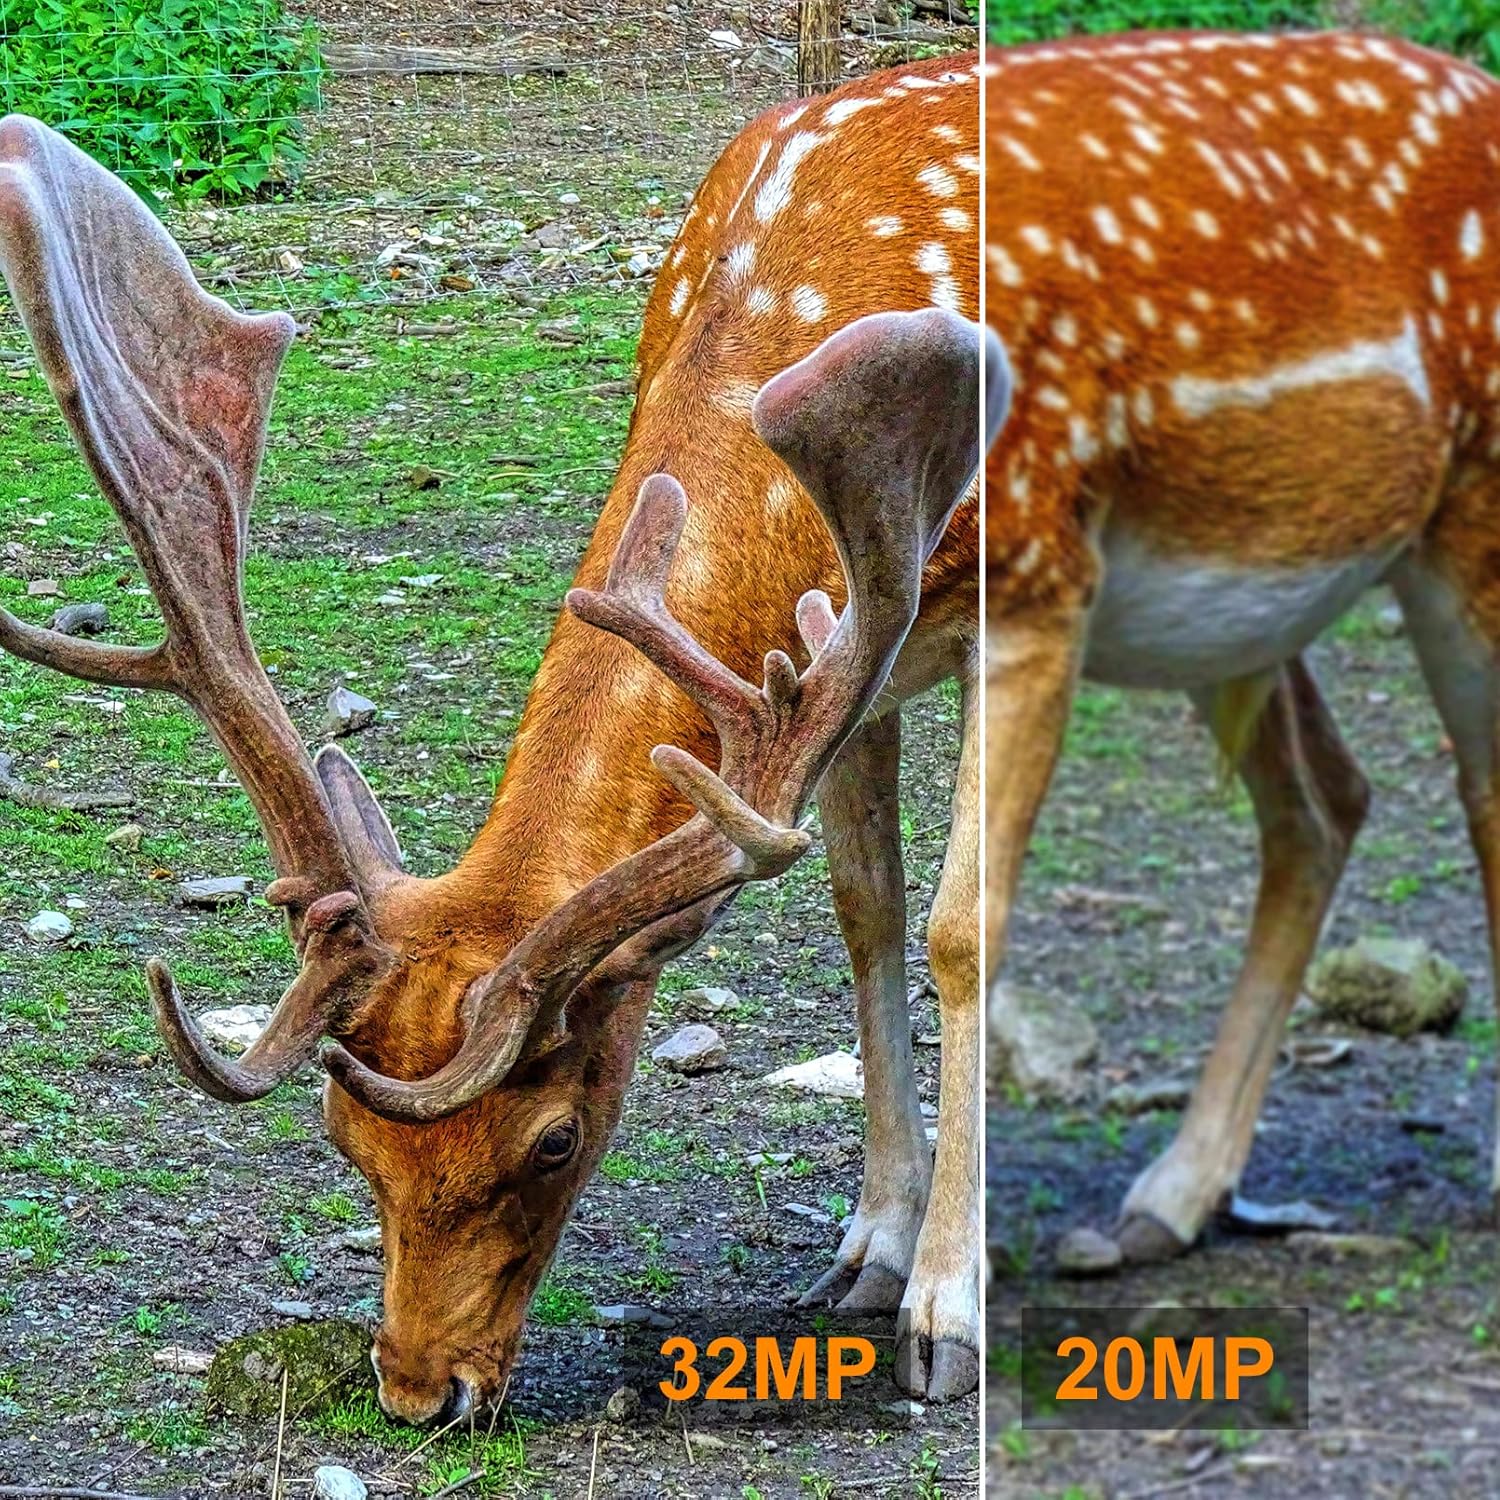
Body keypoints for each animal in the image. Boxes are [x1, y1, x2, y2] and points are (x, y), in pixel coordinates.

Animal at [0, 50, 988, 1424]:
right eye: (343, 1142)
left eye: (557, 1138)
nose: (422, 1394)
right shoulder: (864, 671)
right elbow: (866, 914)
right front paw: (867, 1254)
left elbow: (960, 931)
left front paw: (945, 1312)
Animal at [986, 26, 1500, 1265]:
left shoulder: (1032, 585)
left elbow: (960, 925)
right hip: (1250, 616)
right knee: (1329, 799)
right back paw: (1174, 1195)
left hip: (1474, 512)